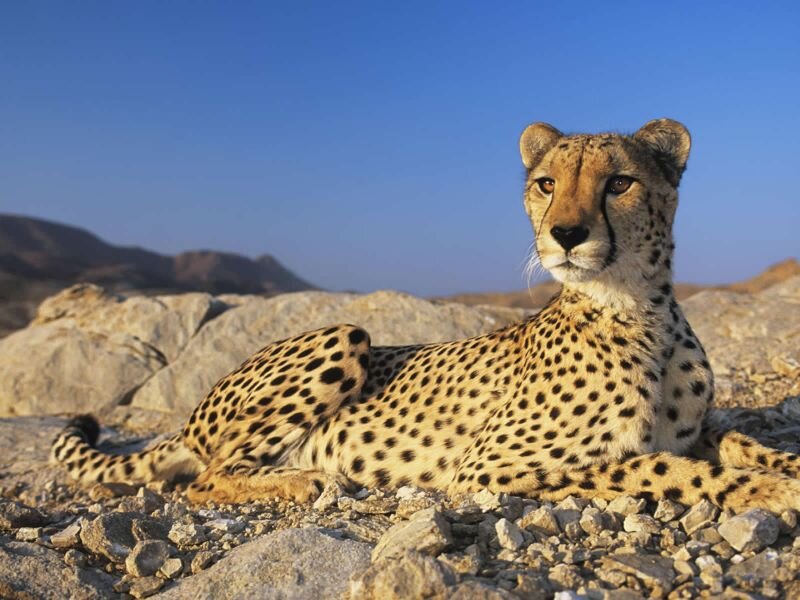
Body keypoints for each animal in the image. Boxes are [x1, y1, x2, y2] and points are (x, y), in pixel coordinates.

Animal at [51, 118, 800, 513]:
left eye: (619, 183)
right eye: (546, 183)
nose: (564, 234)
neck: (638, 309)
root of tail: (189, 416)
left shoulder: (695, 428)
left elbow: (736, 439)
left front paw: (777, 467)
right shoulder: (486, 471)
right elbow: (653, 468)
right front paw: (764, 489)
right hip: (344, 335)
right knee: (202, 479)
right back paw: (303, 478)